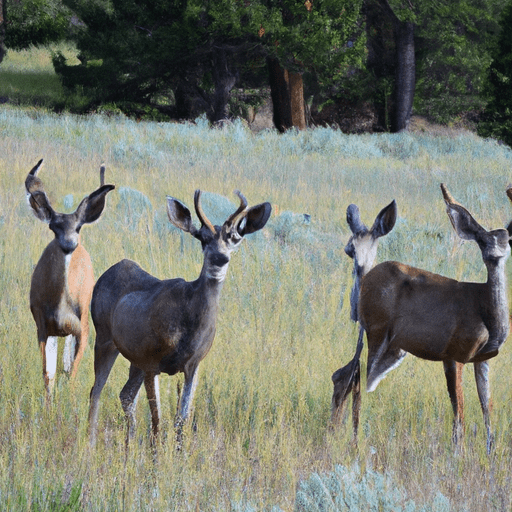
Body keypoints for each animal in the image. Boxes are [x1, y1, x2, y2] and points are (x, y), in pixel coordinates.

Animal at [25, 158, 115, 398]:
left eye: (78, 226)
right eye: (53, 227)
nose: (69, 244)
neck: (62, 307)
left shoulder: (83, 327)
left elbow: (71, 375)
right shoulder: (41, 325)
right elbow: (48, 375)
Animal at [87, 189, 272, 448]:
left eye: (235, 237)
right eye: (202, 238)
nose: (220, 259)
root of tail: (107, 273)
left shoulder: (194, 364)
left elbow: (181, 418)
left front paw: (178, 452)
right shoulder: (152, 361)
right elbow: (157, 420)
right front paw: (156, 456)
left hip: (134, 358)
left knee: (125, 395)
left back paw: (128, 446)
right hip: (104, 338)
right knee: (97, 389)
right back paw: (91, 443)